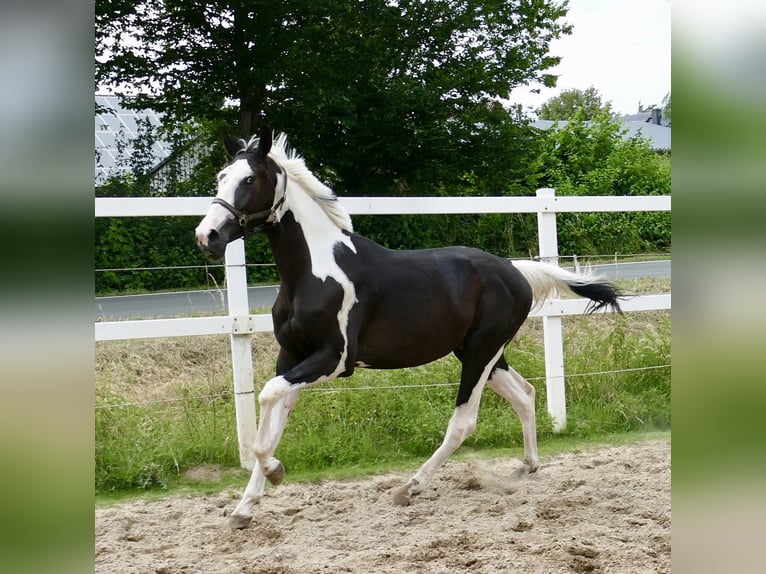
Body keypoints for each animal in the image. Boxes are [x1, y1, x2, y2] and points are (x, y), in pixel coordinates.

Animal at [195, 127, 622, 529]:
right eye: (221, 176)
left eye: (250, 179)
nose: (207, 236)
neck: (313, 273)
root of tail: (515, 270)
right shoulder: (292, 357)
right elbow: (273, 420)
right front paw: (243, 509)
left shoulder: (334, 359)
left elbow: (266, 402)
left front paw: (275, 471)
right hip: (482, 354)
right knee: (525, 393)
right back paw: (527, 466)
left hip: (480, 354)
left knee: (464, 422)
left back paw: (411, 487)